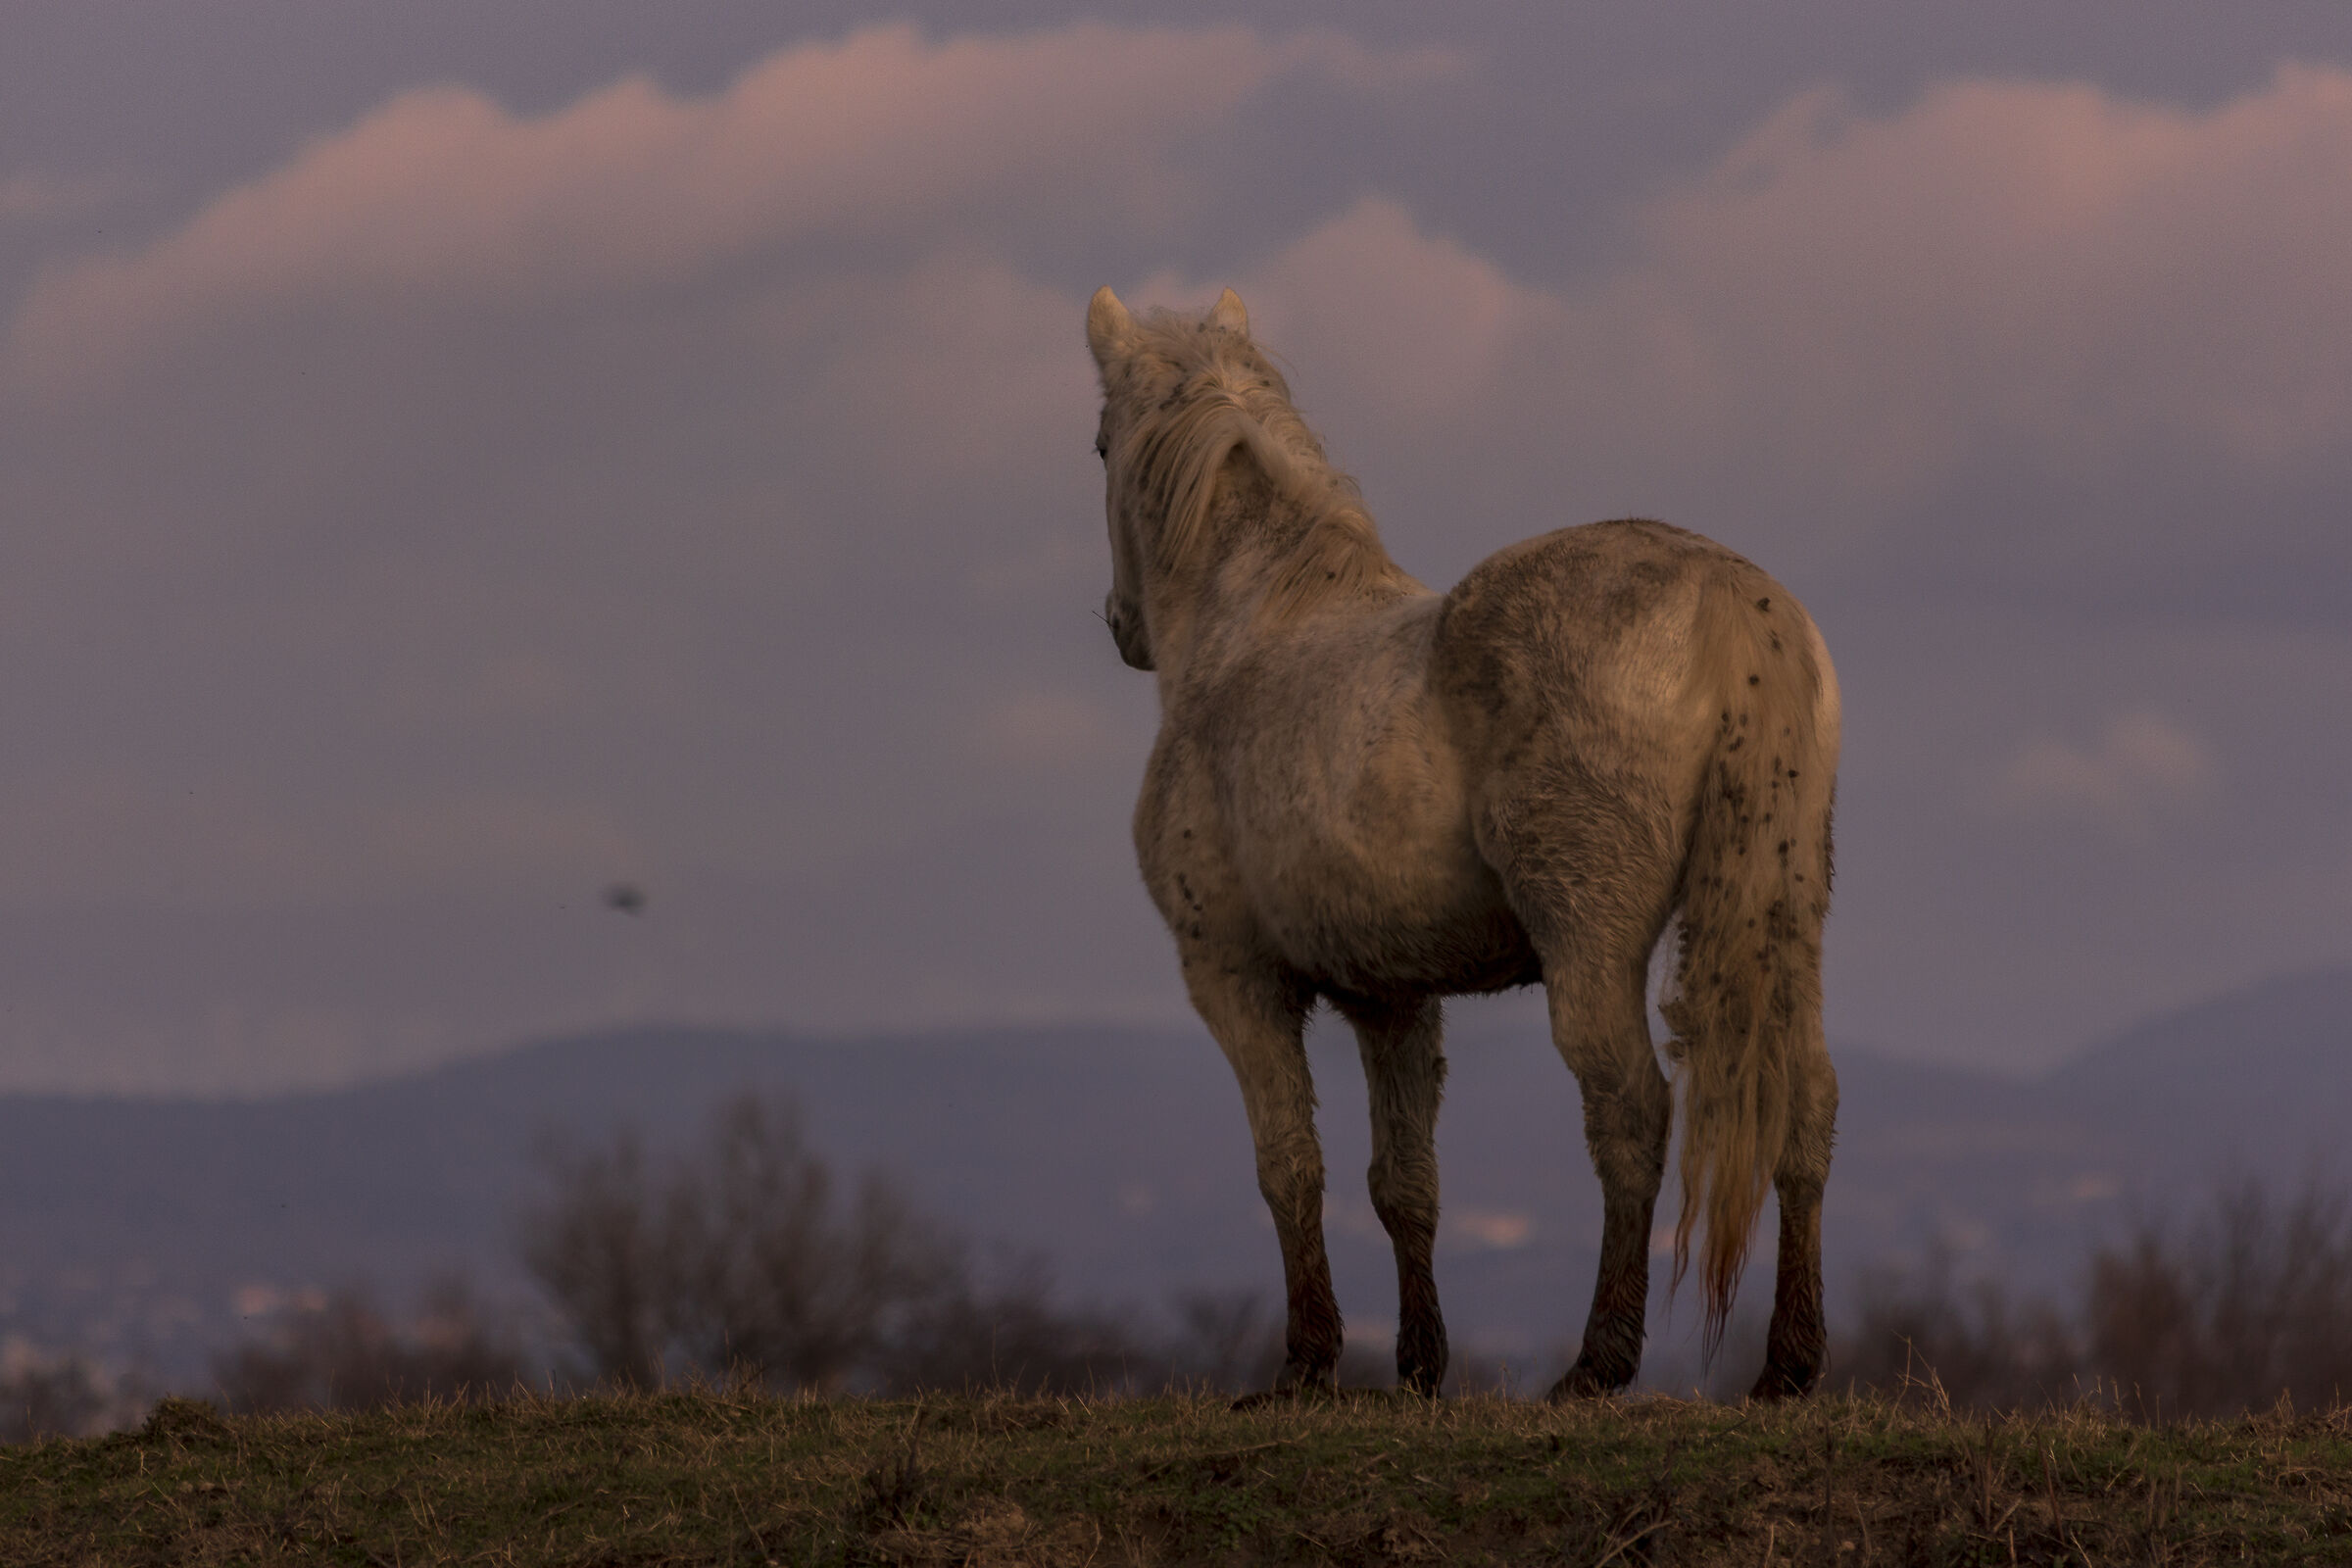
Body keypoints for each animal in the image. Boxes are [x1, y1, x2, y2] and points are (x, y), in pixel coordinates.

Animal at [1084, 285, 1842, 1402]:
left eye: (1102, 443)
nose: (1122, 624)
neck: (1252, 631)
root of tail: (1731, 604)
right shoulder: (1392, 999)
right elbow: (1404, 1184)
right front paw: (1416, 1366)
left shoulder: (1233, 977)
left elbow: (1289, 1164)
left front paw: (1306, 1364)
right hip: (1784, 922)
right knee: (1804, 1105)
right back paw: (1786, 1366)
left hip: (1592, 946)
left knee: (1630, 1110)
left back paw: (1598, 1364)